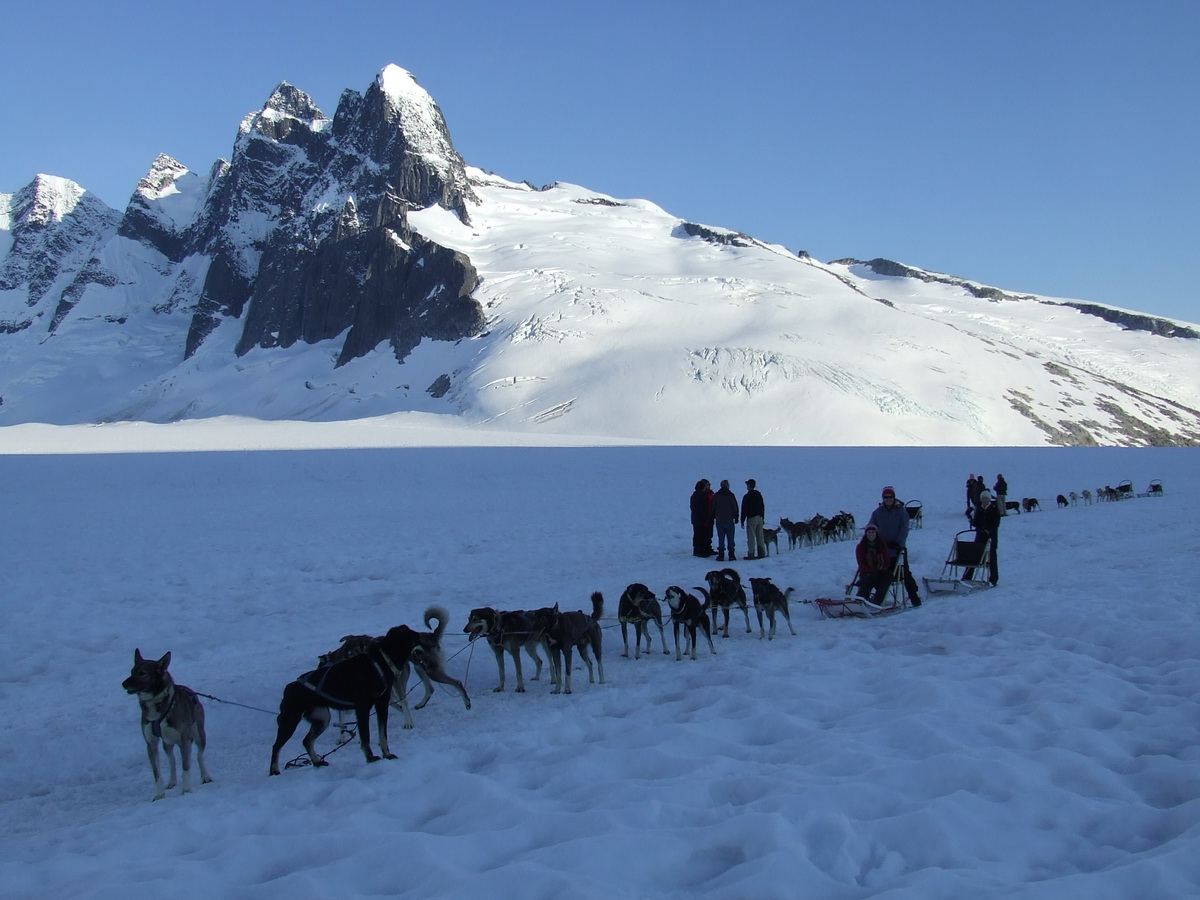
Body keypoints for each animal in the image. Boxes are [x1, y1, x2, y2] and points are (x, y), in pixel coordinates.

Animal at [121, 648, 213, 801]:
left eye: (142, 673)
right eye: (132, 671)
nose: (123, 684)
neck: (156, 703)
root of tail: (192, 692)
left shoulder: (184, 740)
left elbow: (186, 768)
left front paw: (186, 790)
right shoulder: (151, 744)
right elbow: (157, 773)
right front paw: (159, 795)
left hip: (199, 736)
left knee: (199, 756)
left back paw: (205, 776)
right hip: (167, 743)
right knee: (172, 760)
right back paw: (172, 781)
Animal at [270, 619, 420, 777]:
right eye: (415, 636)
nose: (423, 637)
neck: (380, 663)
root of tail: (289, 687)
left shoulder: (381, 705)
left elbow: (382, 735)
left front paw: (387, 754)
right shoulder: (362, 708)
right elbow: (365, 737)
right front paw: (370, 758)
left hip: (323, 719)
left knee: (307, 741)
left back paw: (317, 762)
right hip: (290, 722)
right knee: (276, 746)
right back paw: (274, 770)